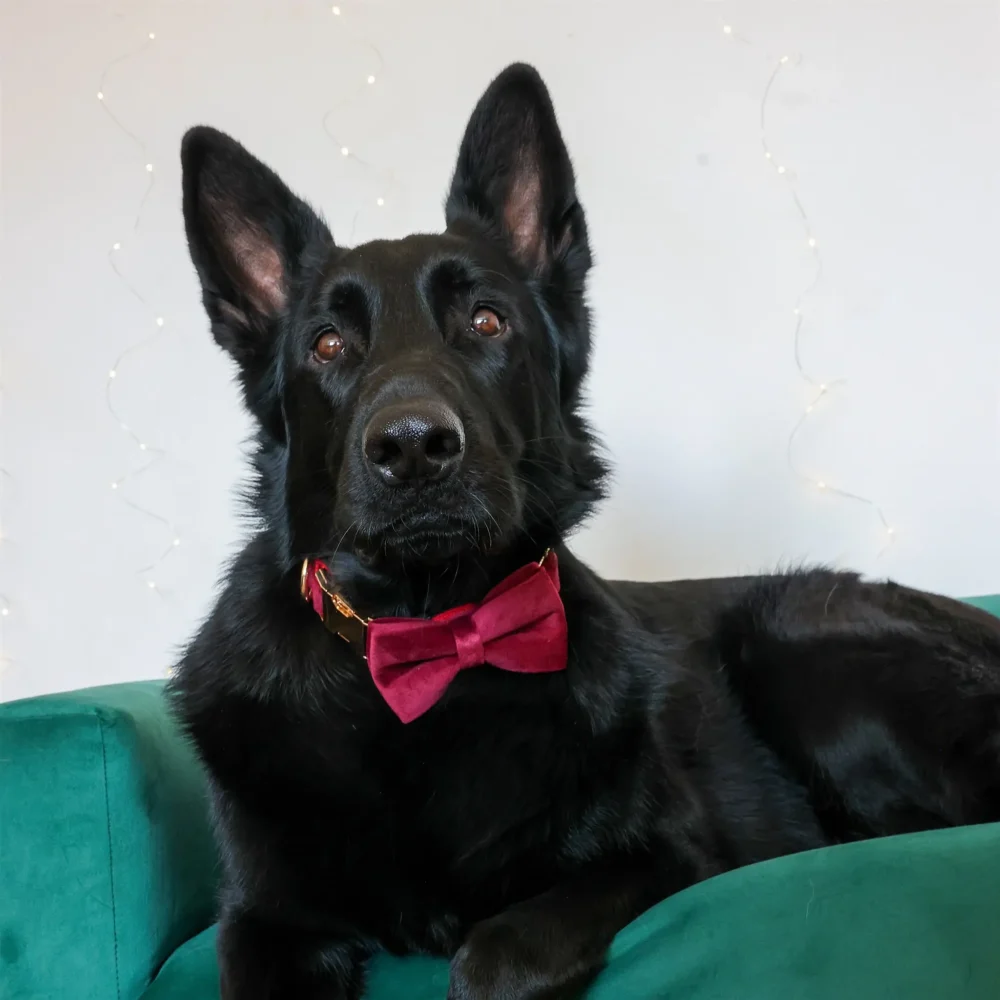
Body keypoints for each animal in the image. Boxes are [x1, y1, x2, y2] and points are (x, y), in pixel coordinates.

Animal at [170, 64, 1000, 1000]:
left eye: (486, 322)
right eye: (327, 344)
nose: (413, 447)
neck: (431, 636)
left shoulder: (669, 859)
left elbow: (496, 957)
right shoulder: (264, 924)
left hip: (793, 633)